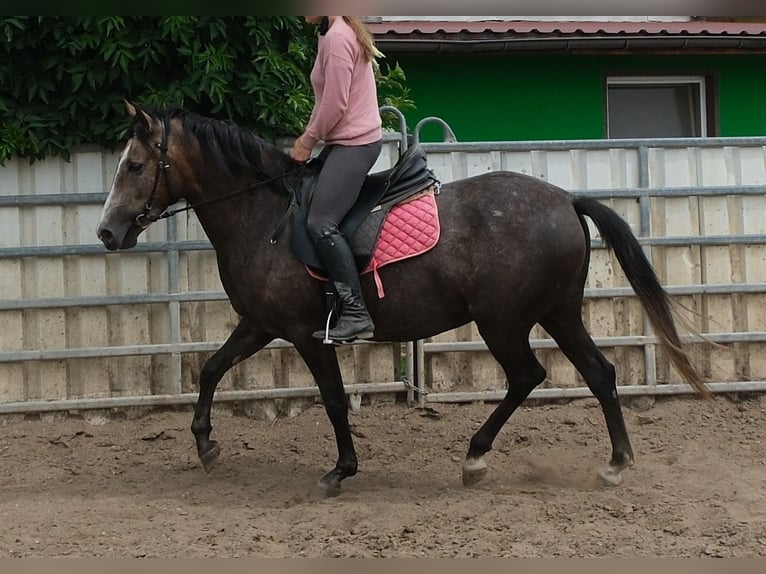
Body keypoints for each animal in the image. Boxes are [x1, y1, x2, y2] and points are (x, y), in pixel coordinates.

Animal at [96, 101, 711, 497]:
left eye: (135, 165)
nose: (106, 233)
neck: (265, 217)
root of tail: (566, 199)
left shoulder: (305, 334)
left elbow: (334, 400)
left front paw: (341, 470)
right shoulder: (259, 324)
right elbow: (209, 368)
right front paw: (205, 445)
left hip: (505, 322)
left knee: (528, 376)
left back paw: (475, 457)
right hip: (556, 313)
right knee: (599, 373)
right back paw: (613, 465)